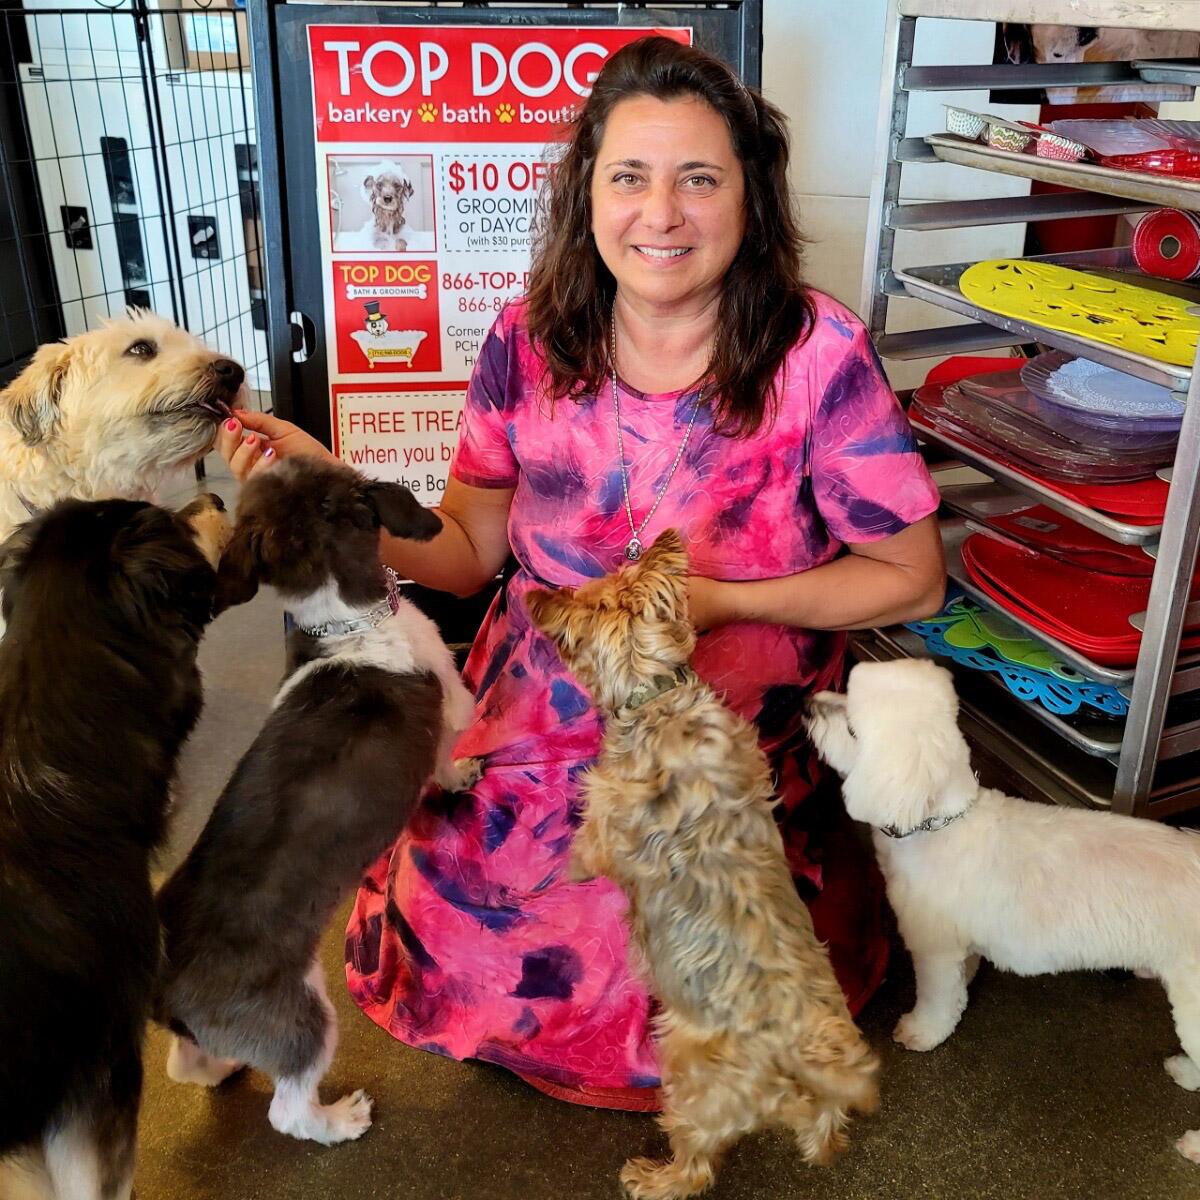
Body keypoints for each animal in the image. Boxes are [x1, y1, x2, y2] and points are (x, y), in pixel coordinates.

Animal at [154, 458, 477, 1142]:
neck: (346, 623)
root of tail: (162, 983)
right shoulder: (448, 698)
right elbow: (448, 750)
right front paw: (463, 771)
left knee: (184, 1063)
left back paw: (221, 1067)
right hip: (301, 1014)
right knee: (288, 1109)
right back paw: (340, 1120)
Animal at [530, 532, 878, 1200]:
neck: (657, 695)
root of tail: (796, 1058)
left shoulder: (603, 820)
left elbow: (585, 851)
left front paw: (564, 867)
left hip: (688, 1075)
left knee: (696, 1165)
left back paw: (651, 1178)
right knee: (823, 1128)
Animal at [801, 657, 1200, 1161]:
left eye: (852, 728)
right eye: (847, 693)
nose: (807, 703)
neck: (939, 825)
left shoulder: (933, 947)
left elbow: (937, 999)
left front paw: (921, 1031)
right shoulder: (959, 942)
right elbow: (962, 978)